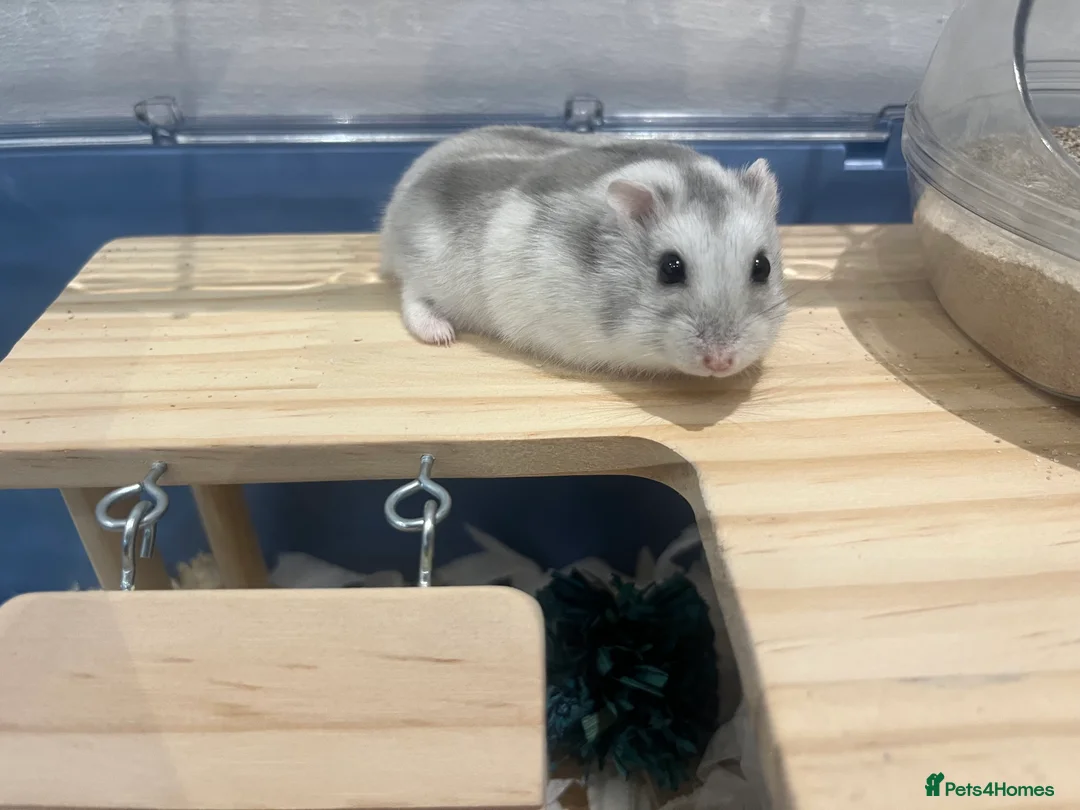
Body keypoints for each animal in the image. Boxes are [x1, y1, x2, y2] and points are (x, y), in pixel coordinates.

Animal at [378, 125, 787, 379]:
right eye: (670, 268)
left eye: (762, 267)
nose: (721, 362)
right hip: (428, 266)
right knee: (411, 296)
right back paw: (442, 334)